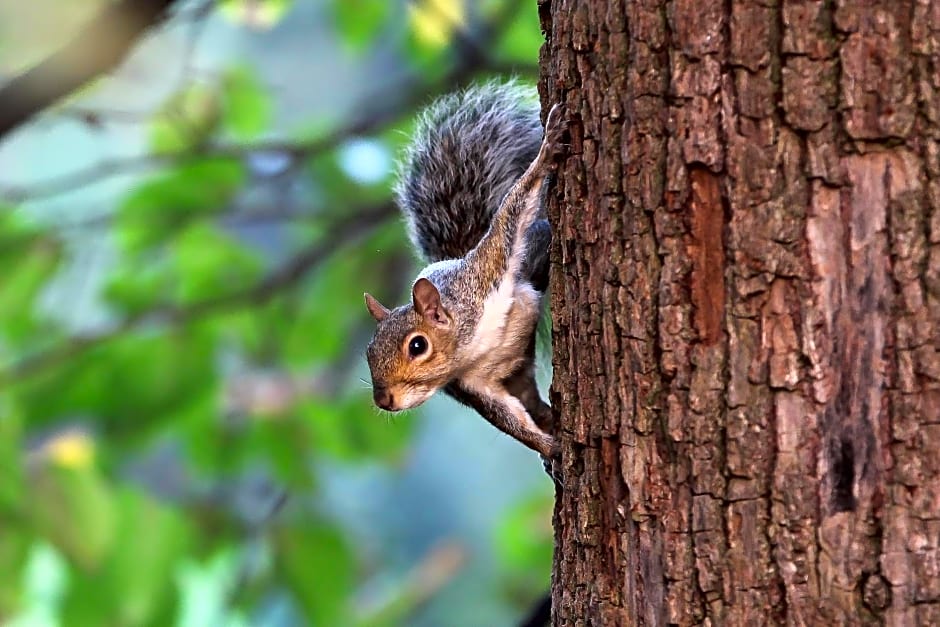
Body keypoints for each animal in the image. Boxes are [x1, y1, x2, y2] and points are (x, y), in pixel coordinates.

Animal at [362, 79, 564, 466]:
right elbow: (508, 418)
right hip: (516, 372)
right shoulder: (470, 386)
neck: (469, 346)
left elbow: (510, 216)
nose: (383, 400)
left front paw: (546, 154)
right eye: (368, 352)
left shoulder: (487, 269)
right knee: (527, 398)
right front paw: (551, 448)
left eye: (418, 346)